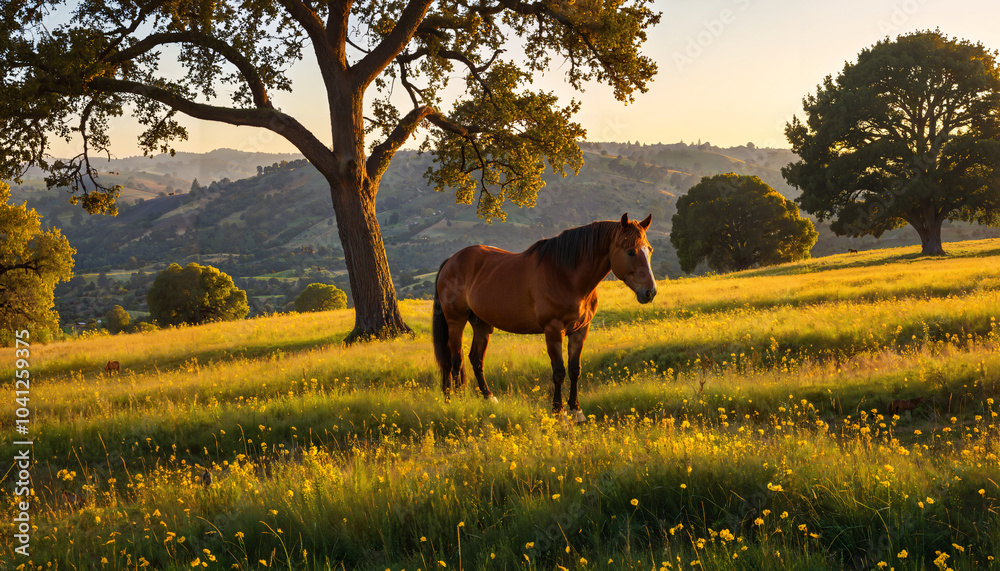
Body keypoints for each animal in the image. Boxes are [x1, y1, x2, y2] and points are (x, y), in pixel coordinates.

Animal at [433, 213, 658, 419]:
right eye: (630, 251)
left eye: (649, 250)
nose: (650, 292)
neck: (566, 275)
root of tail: (451, 261)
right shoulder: (553, 330)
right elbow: (558, 372)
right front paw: (559, 412)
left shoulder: (580, 330)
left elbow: (575, 370)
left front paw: (576, 411)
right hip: (456, 321)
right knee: (455, 359)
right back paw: (458, 400)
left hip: (482, 324)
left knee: (476, 359)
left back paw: (488, 397)